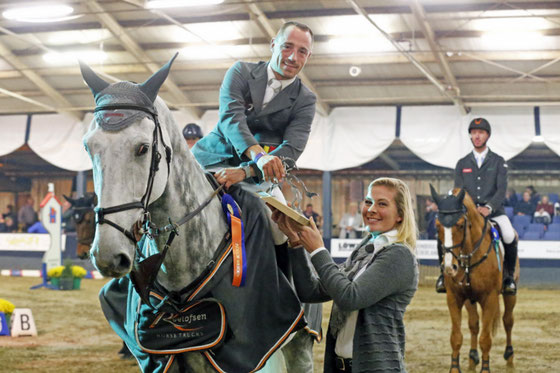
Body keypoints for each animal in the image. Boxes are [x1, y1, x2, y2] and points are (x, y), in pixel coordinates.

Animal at [430, 186, 520, 372]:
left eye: (460, 225)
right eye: (437, 226)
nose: (449, 268)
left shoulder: (490, 298)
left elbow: (485, 338)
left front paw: (485, 369)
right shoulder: (455, 297)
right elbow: (456, 336)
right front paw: (455, 368)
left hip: (510, 294)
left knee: (508, 320)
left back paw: (509, 357)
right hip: (469, 300)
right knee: (474, 324)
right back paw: (472, 357)